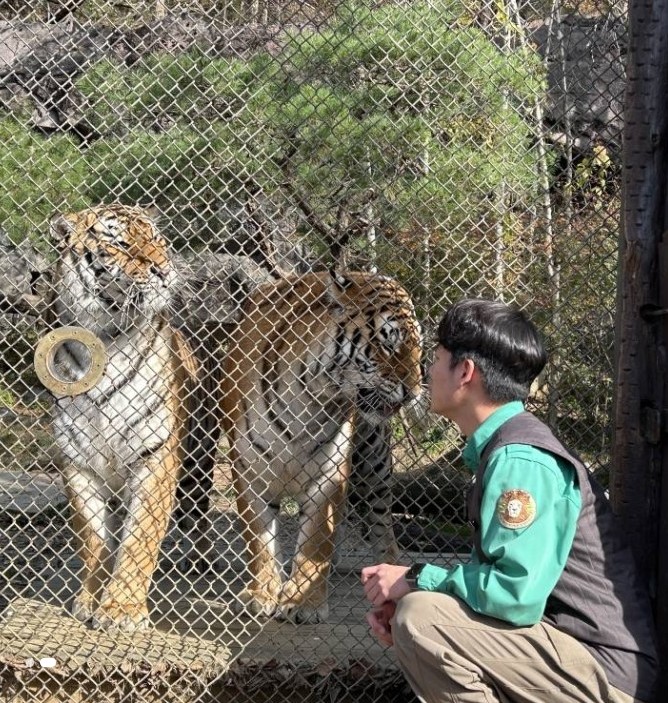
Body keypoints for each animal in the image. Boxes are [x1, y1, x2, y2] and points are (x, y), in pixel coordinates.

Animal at [47, 204, 219, 632]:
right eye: (122, 245)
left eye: (157, 240)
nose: (163, 269)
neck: (103, 337)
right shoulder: (78, 462)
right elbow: (93, 539)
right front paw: (90, 600)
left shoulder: (155, 455)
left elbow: (140, 536)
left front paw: (121, 609)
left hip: (198, 459)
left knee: (198, 510)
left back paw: (201, 559)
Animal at [223, 270, 422, 620]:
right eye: (388, 342)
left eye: (419, 346)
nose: (414, 391)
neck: (310, 396)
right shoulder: (248, 469)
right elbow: (258, 538)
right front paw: (262, 593)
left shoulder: (328, 474)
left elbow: (317, 538)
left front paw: (303, 603)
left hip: (374, 462)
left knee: (382, 521)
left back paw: (391, 567)